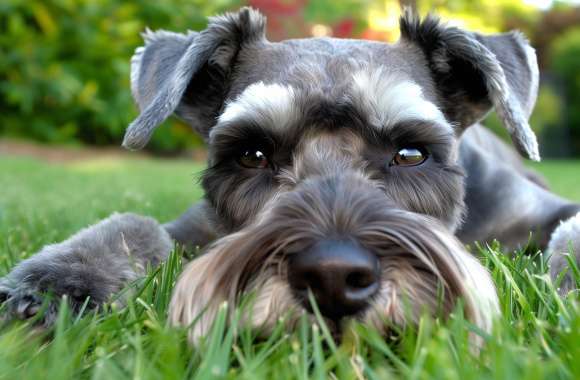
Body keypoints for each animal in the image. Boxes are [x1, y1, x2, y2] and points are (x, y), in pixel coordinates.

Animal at [1, 7, 580, 342]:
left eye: (411, 153)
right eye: (253, 154)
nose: (333, 278)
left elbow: (570, 229)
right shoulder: (196, 229)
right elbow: (133, 224)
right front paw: (54, 283)